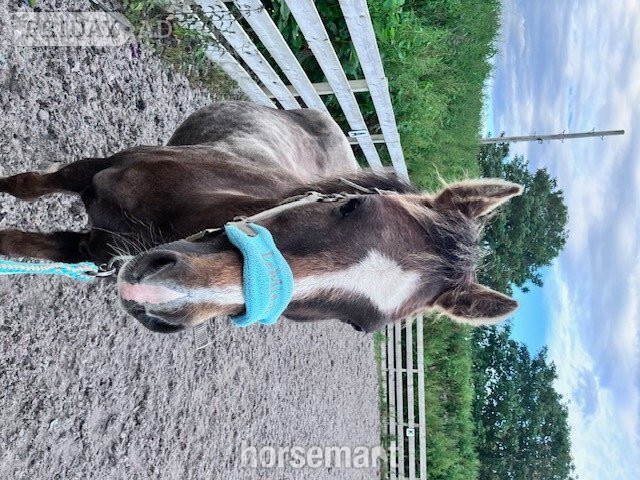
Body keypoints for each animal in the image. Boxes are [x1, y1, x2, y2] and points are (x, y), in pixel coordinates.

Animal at [0, 101, 521, 333]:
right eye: (350, 204)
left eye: (358, 326)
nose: (159, 295)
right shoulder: (92, 173)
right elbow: (25, 187)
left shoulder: (91, 252)